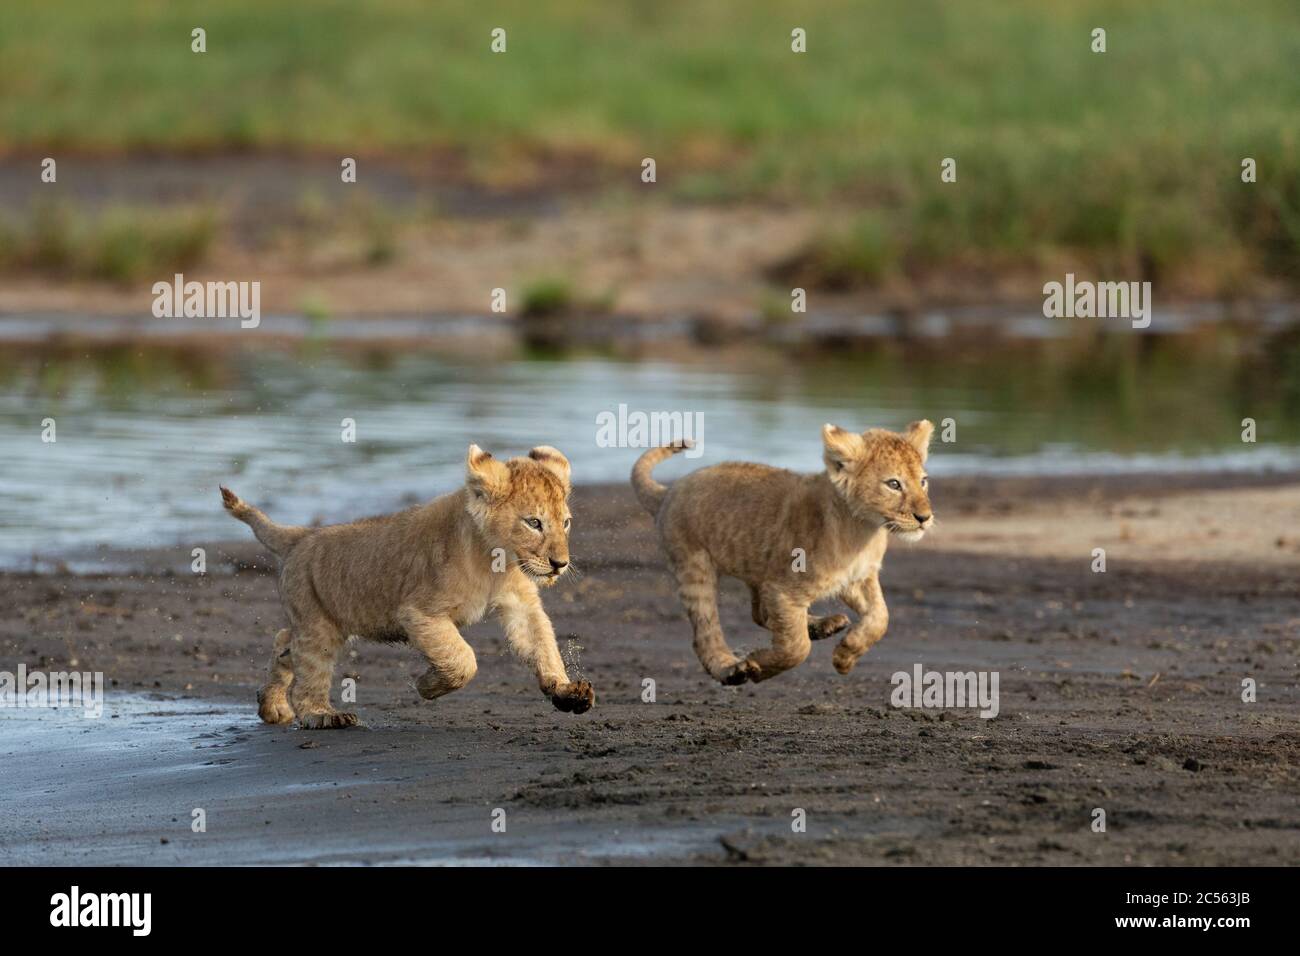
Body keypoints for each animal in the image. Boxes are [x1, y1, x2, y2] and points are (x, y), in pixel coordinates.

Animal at [220, 444, 595, 728]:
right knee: (308, 668)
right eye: (534, 523)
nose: (560, 564)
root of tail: (301, 535)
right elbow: (463, 658)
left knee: (284, 642)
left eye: (565, 523)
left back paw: (272, 706)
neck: (497, 563)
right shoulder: (418, 613)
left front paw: (566, 691)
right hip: (318, 626)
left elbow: (541, 644)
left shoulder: (520, 602)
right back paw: (322, 715)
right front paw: (427, 686)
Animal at [631, 421, 934, 685]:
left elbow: (881, 617)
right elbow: (796, 648)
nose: (925, 517)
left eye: (923, 481)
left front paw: (845, 656)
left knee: (760, 614)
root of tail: (668, 491)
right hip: (695, 567)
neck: (863, 530)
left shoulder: (856, 578)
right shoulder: (784, 589)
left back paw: (825, 625)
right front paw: (758, 666)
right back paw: (732, 669)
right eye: (893, 484)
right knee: (706, 632)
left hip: (758, 569)